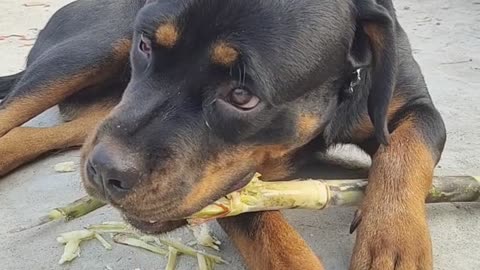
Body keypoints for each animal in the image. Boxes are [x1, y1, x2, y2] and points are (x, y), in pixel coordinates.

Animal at [1, 0, 448, 270]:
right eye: (145, 45)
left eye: (242, 95)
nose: (105, 171)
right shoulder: (230, 182)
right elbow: (266, 234)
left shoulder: (417, 108)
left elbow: (406, 149)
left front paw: (393, 239)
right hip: (96, 47)